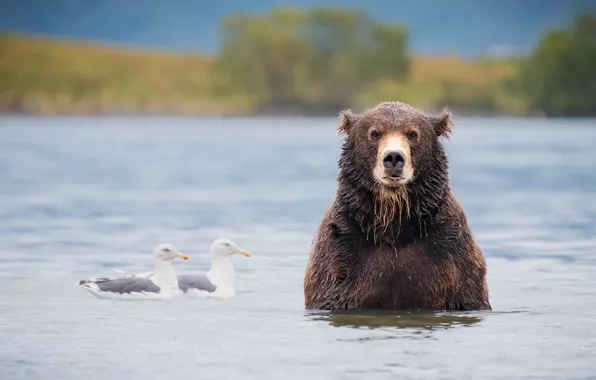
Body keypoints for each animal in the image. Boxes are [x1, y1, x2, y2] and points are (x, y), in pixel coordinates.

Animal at [304, 101, 492, 312]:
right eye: (375, 133)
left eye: (412, 134)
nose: (393, 157)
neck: (394, 222)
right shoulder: (341, 248)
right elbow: (333, 289)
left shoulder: (451, 249)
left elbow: (464, 292)